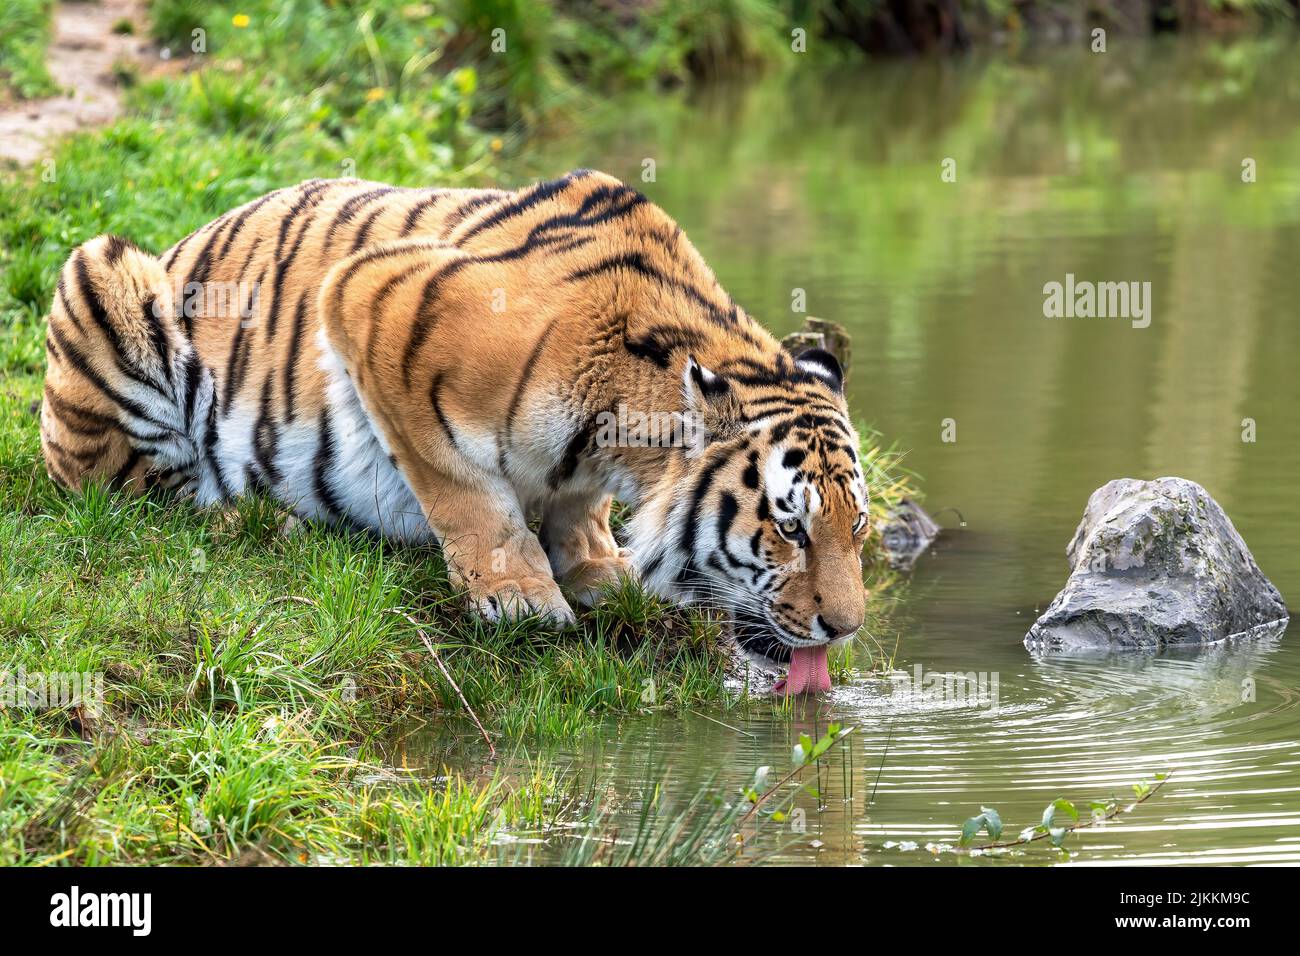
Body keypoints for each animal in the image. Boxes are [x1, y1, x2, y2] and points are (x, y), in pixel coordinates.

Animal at [38, 170, 869, 694]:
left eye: (857, 529)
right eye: (790, 529)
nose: (846, 628)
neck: (619, 427)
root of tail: (186, 241)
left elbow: (574, 504)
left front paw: (597, 565)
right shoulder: (377, 301)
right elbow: (465, 488)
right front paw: (520, 594)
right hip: (101, 272)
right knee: (144, 493)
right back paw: (266, 519)